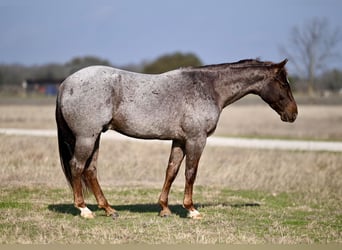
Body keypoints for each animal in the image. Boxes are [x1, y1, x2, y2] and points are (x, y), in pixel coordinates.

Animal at [55, 58, 296, 219]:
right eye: (284, 84)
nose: (293, 114)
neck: (209, 87)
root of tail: (65, 84)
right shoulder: (196, 139)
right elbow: (191, 173)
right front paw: (191, 210)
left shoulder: (179, 140)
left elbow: (171, 171)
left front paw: (164, 208)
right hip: (86, 138)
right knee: (77, 167)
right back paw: (84, 209)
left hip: (95, 138)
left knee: (90, 170)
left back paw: (108, 209)